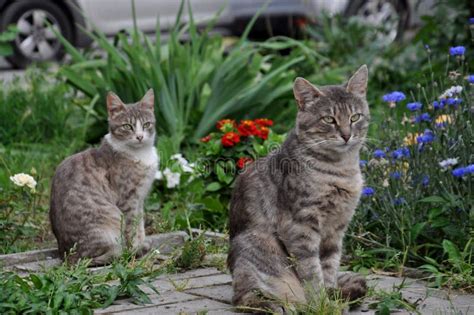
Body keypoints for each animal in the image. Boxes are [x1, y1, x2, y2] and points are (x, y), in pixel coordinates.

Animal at [49, 90, 158, 266]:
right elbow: (131, 229)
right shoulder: (128, 200)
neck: (140, 154)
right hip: (111, 219)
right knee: (96, 257)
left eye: (146, 124)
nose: (140, 136)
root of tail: (66, 256)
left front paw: (141, 244)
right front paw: (136, 248)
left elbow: (140, 225)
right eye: (127, 126)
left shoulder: (140, 199)